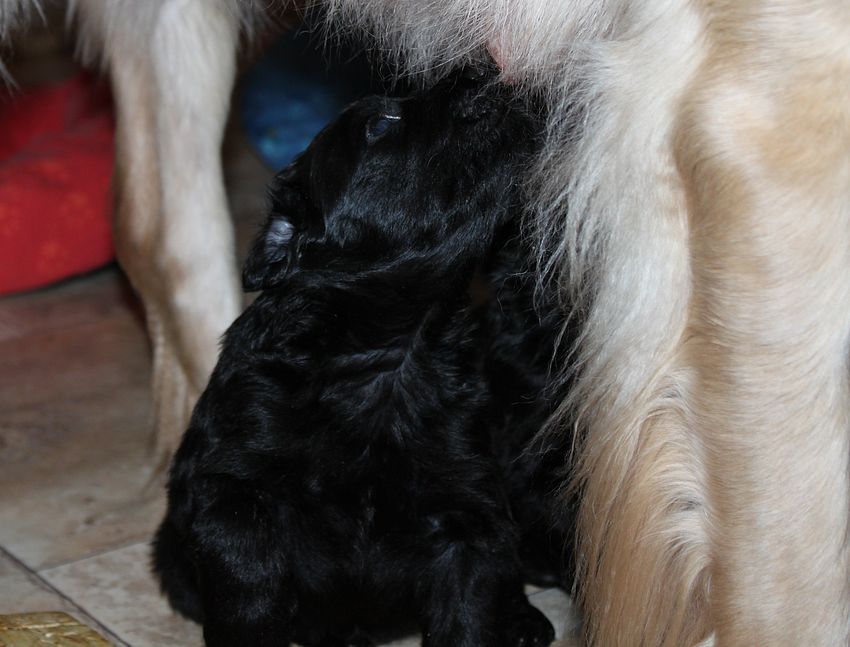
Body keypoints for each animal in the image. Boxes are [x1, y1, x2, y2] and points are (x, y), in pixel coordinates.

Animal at [152, 74, 566, 647]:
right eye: (382, 123)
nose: (490, 80)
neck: (388, 356)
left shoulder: (468, 518)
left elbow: (469, 613)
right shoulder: (235, 499)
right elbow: (249, 600)